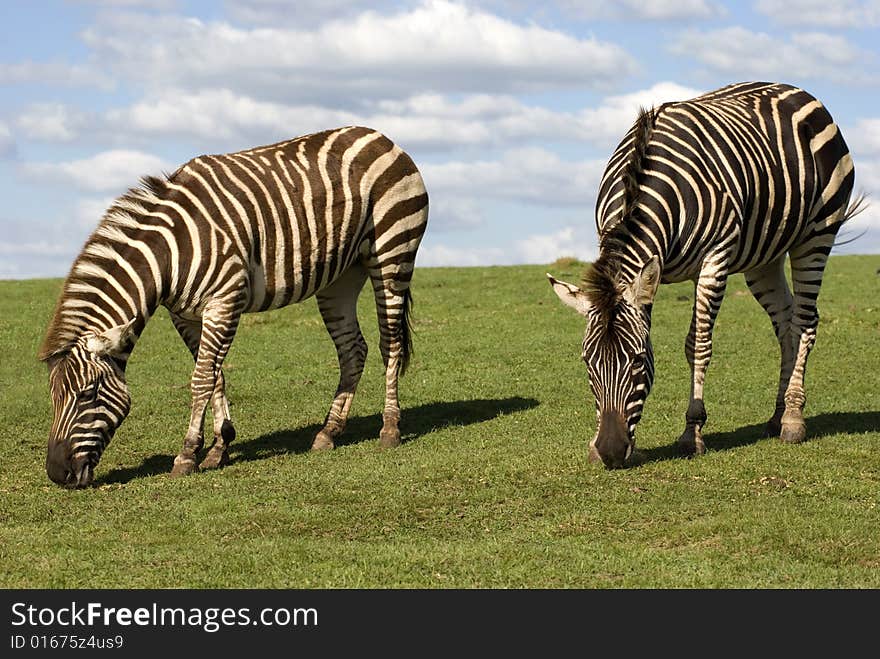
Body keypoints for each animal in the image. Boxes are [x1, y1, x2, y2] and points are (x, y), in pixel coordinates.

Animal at [39, 127, 428, 490]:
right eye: (53, 397)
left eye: (87, 394)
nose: (58, 474)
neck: (168, 256)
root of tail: (378, 135)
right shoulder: (186, 315)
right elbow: (215, 375)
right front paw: (219, 447)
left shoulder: (225, 301)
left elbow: (200, 379)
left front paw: (186, 455)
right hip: (341, 276)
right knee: (353, 349)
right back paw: (328, 432)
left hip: (392, 251)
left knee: (390, 343)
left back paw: (389, 428)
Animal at [548, 81, 864, 470]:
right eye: (587, 362)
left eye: (637, 360)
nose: (609, 451)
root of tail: (795, 89)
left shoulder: (715, 260)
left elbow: (697, 345)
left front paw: (692, 432)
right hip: (764, 256)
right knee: (785, 321)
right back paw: (777, 415)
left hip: (817, 235)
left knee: (804, 321)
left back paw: (793, 420)